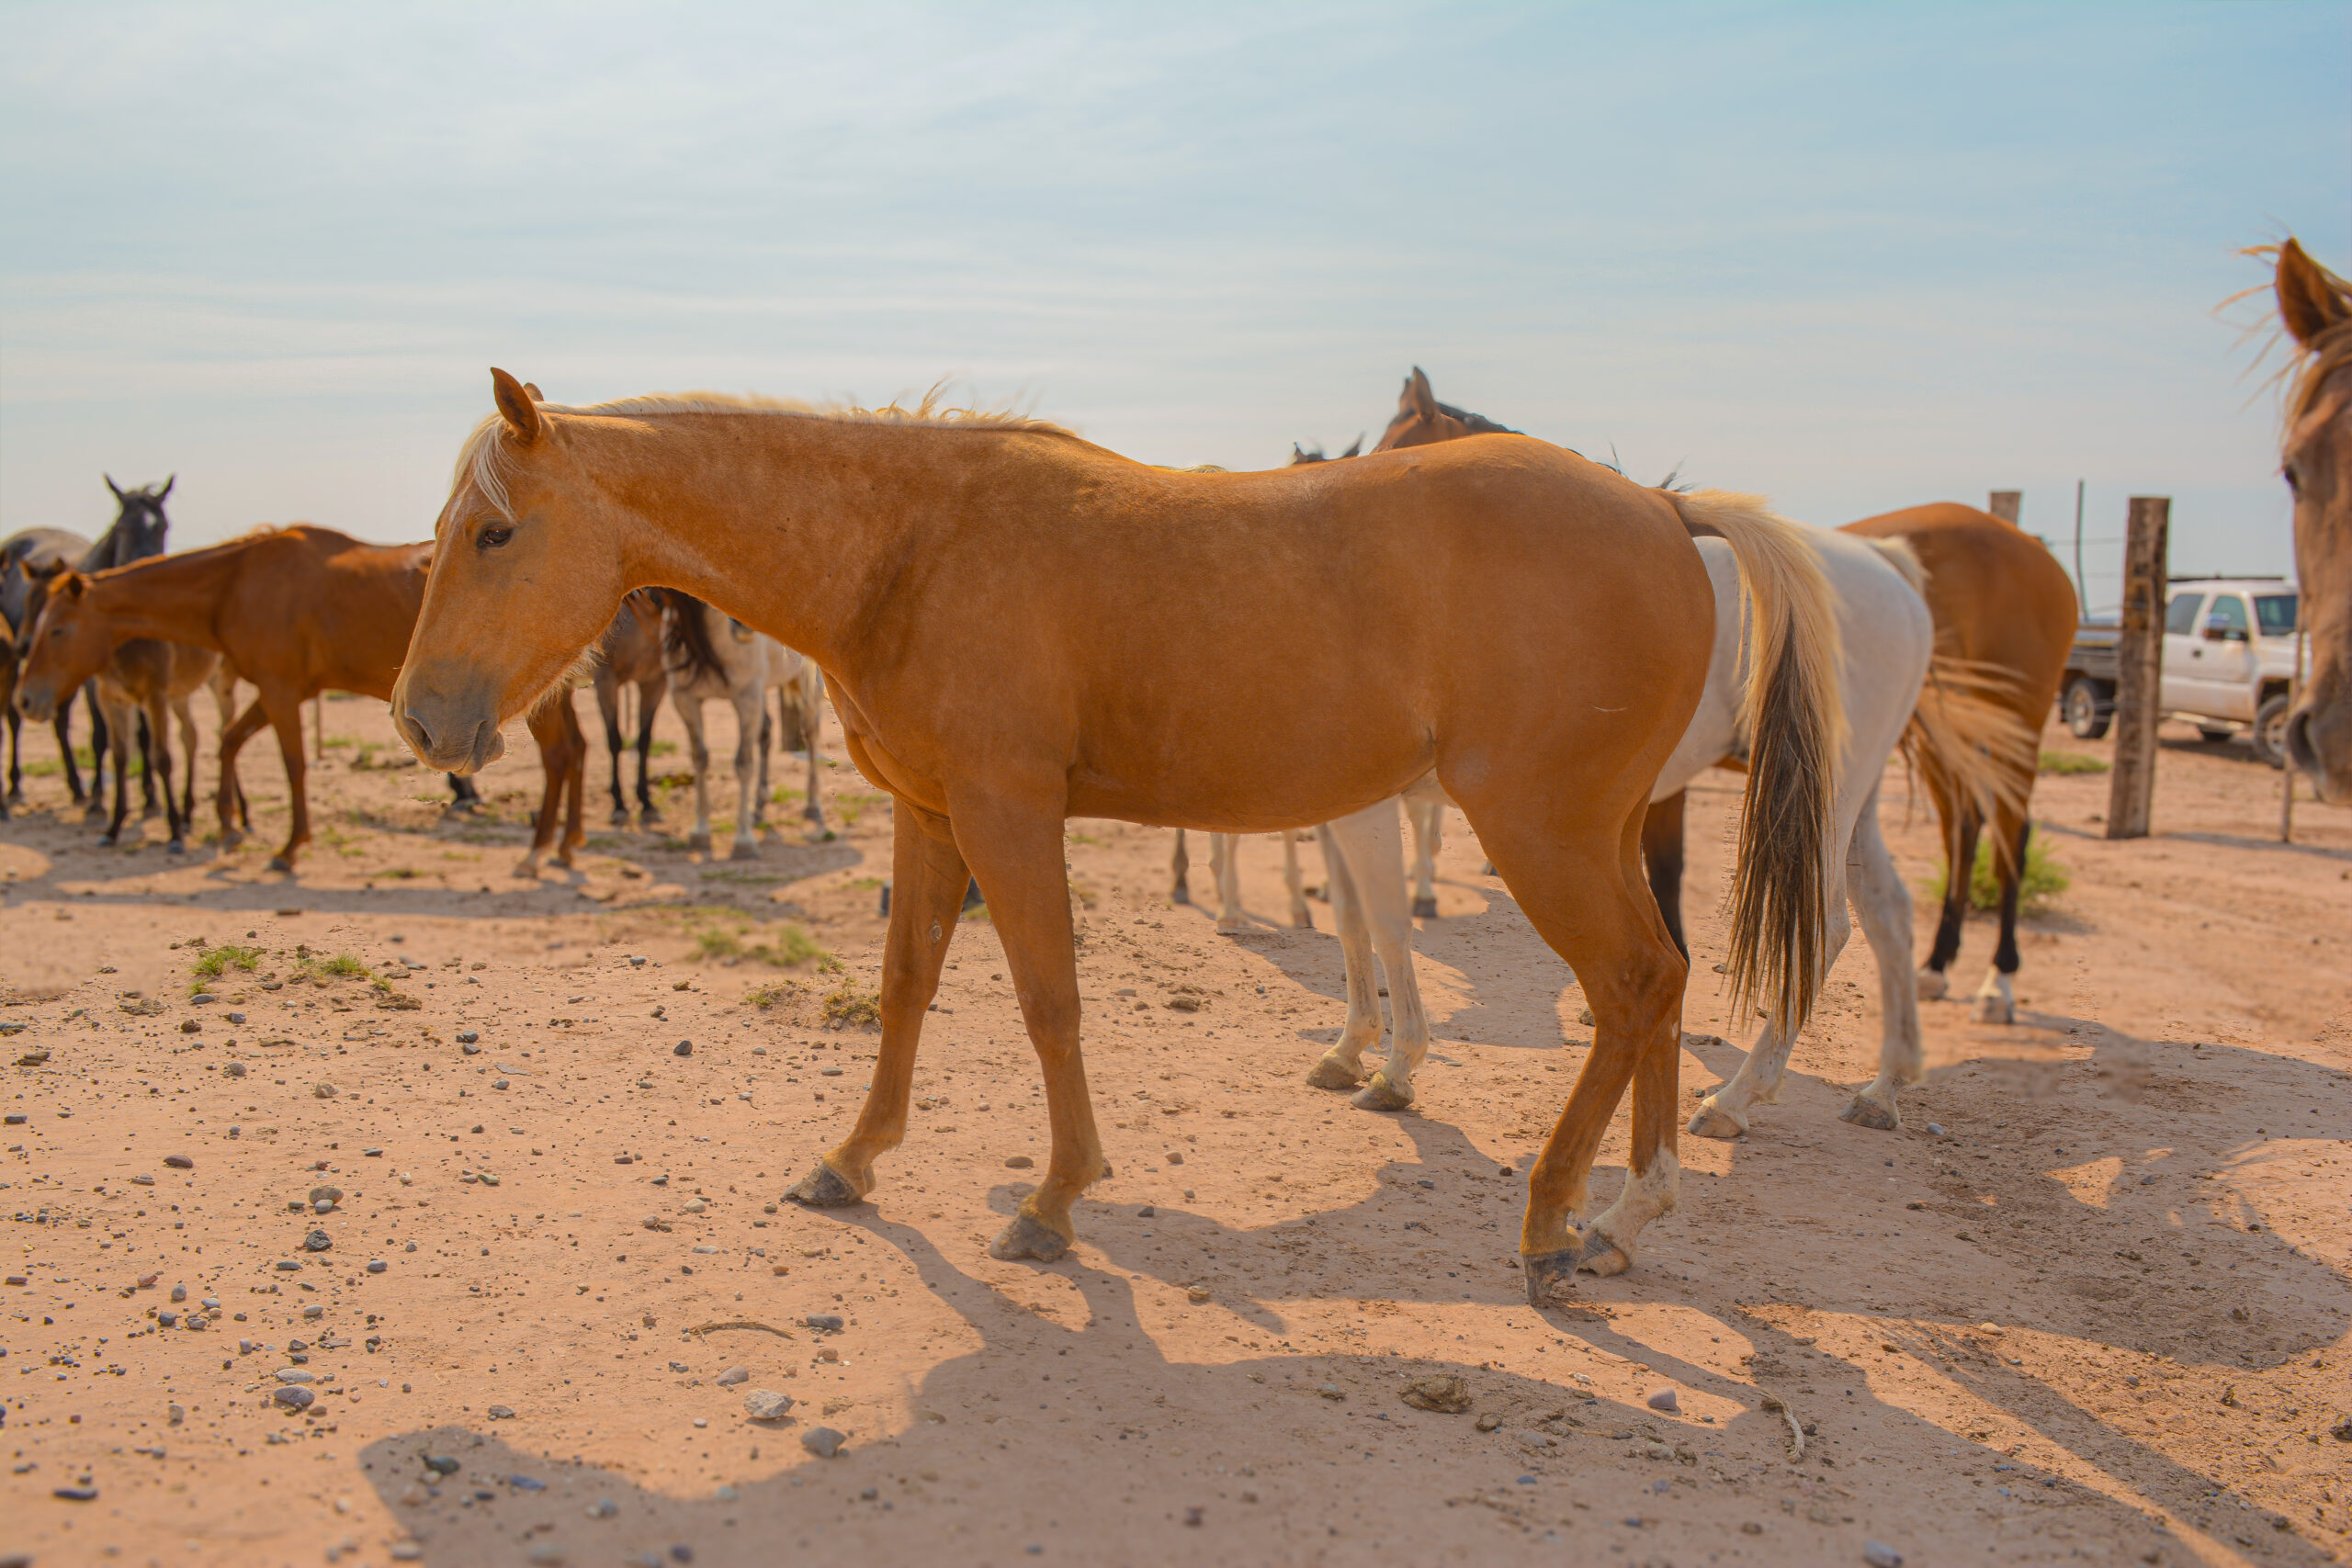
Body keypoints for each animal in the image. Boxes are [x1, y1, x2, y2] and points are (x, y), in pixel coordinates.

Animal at [12, 525, 585, 876]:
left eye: (58, 630)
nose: (25, 700)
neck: (236, 583)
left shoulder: (281, 691)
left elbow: (293, 765)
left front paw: (288, 848)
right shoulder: (275, 690)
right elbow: (228, 742)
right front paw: (228, 827)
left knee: (558, 755)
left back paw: (537, 852)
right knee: (575, 750)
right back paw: (567, 843)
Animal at [648, 588, 827, 857]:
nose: (746, 622)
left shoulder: (747, 698)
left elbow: (743, 763)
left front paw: (744, 841)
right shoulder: (685, 699)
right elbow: (700, 758)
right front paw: (700, 832)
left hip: (806, 685)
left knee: (811, 733)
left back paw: (813, 807)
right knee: (766, 734)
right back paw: (759, 807)